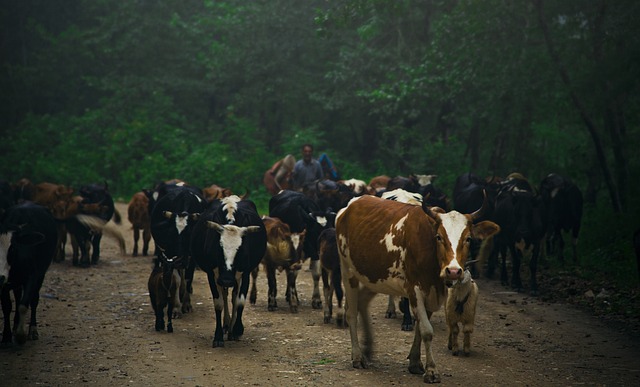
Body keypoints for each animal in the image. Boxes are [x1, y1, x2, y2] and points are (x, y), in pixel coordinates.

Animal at [0, 203, 56, 346]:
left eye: (12, 248)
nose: (0, 277)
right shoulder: (3, 285)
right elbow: (7, 307)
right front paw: (7, 337)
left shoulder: (32, 277)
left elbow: (24, 305)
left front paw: (21, 335)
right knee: (17, 295)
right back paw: (15, 326)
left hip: (40, 275)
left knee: (34, 299)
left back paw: (32, 330)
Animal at [149, 186, 205, 316]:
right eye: (171, 232)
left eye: (189, 233)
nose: (179, 260)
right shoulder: (170, 256)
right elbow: (177, 279)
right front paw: (175, 308)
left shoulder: (190, 257)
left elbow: (188, 278)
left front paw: (186, 304)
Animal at [192, 196, 268, 348]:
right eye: (219, 247)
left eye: (240, 250)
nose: (226, 280)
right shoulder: (212, 274)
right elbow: (219, 302)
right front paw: (218, 336)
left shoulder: (245, 273)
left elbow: (239, 301)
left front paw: (238, 329)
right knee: (226, 295)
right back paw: (227, 325)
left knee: (233, 297)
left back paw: (232, 329)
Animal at [336, 196, 500, 384]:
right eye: (439, 237)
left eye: (468, 239)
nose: (453, 271)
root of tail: (351, 205)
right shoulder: (414, 290)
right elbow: (427, 330)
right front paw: (431, 371)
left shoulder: (432, 293)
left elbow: (420, 329)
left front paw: (415, 362)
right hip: (348, 271)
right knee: (351, 313)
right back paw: (357, 356)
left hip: (376, 277)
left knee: (362, 302)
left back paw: (368, 348)